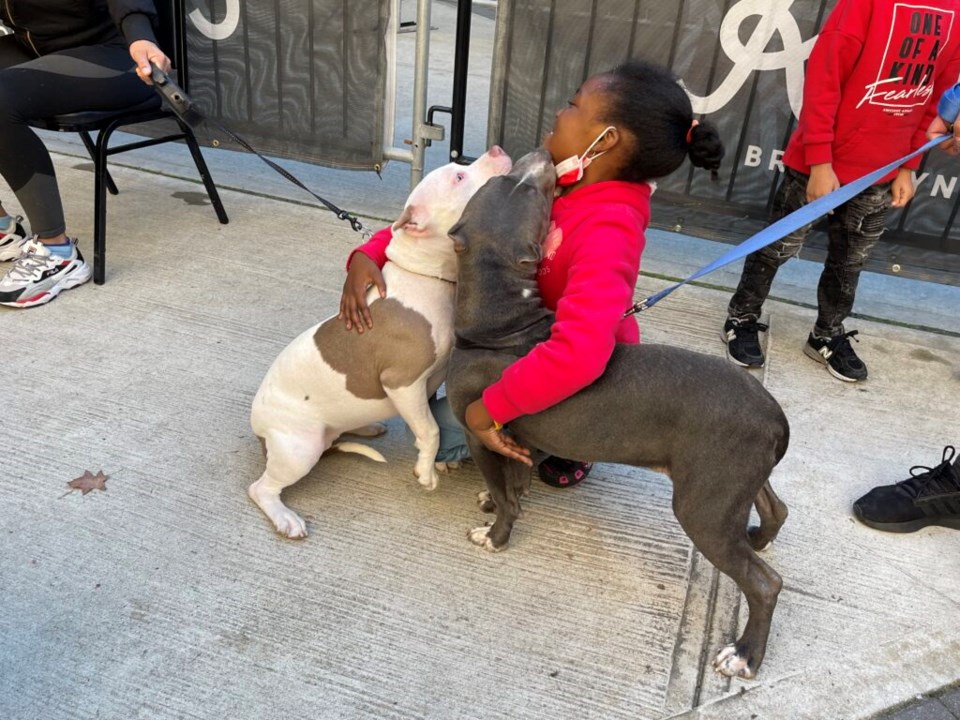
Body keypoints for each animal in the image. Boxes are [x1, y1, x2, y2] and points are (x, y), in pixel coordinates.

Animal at [251, 146, 512, 536]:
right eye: (459, 177)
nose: (496, 149)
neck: (427, 275)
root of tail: (258, 430)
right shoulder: (403, 382)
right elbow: (430, 428)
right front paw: (426, 472)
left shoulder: (426, 382)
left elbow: (429, 423)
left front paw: (436, 462)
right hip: (299, 448)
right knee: (261, 488)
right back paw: (285, 518)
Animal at [446, 148, 792, 680]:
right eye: (515, 185)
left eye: (528, 191)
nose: (541, 156)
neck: (501, 324)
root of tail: (773, 411)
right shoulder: (525, 438)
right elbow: (515, 479)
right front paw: (497, 496)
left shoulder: (480, 431)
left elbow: (508, 498)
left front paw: (496, 534)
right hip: (738, 478)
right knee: (775, 507)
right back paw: (759, 536)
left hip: (703, 506)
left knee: (764, 584)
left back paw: (744, 654)